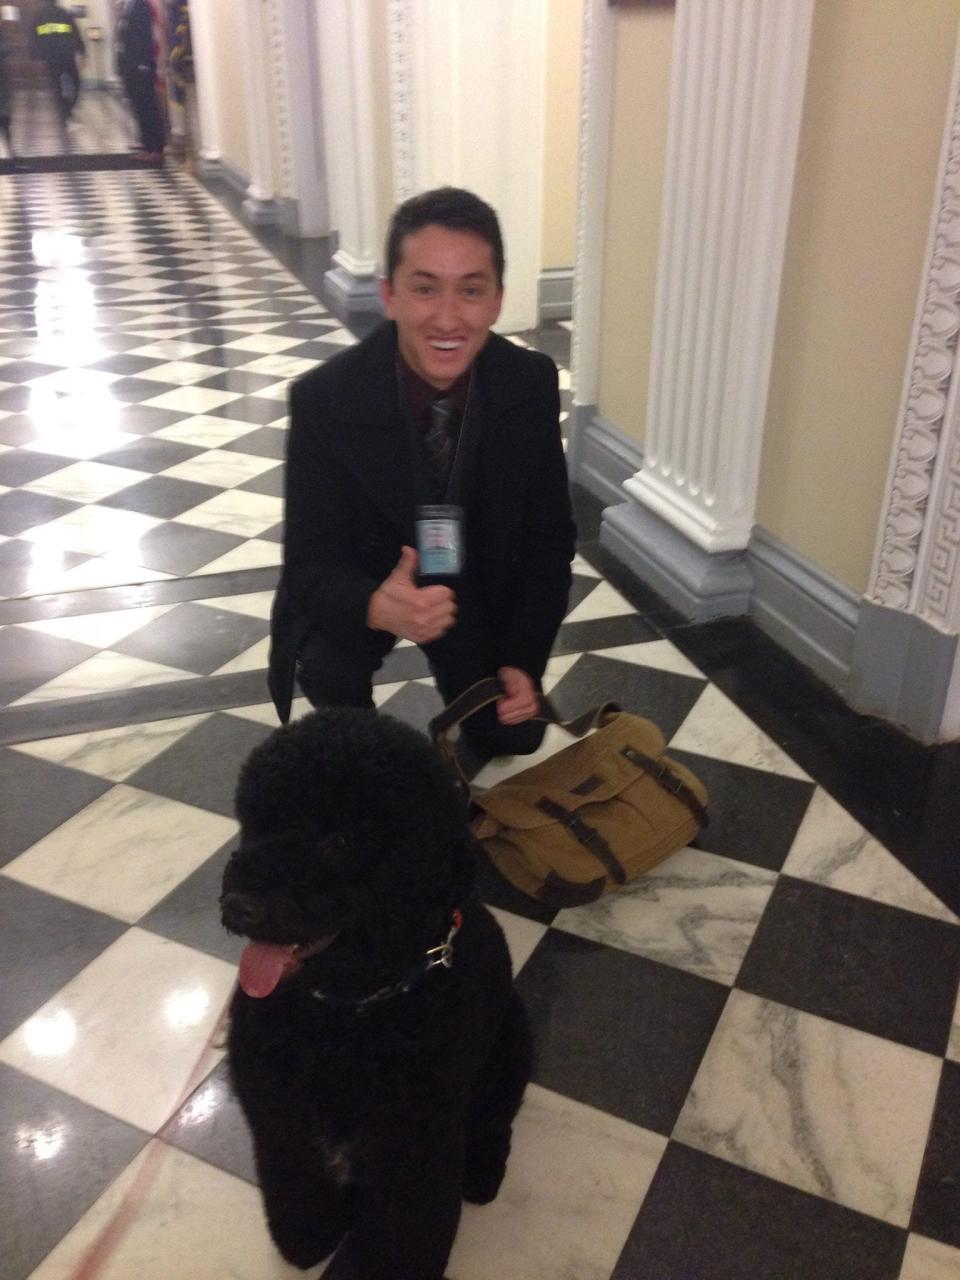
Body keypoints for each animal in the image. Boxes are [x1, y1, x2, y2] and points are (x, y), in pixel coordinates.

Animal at [220, 706, 535, 1280]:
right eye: (257, 824)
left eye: (341, 841)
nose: (238, 906)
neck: (349, 1014)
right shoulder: (278, 1116)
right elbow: (295, 1184)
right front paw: (308, 1238)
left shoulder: (415, 1148)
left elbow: (401, 1234)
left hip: (510, 1055)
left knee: (494, 1124)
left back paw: (482, 1174)